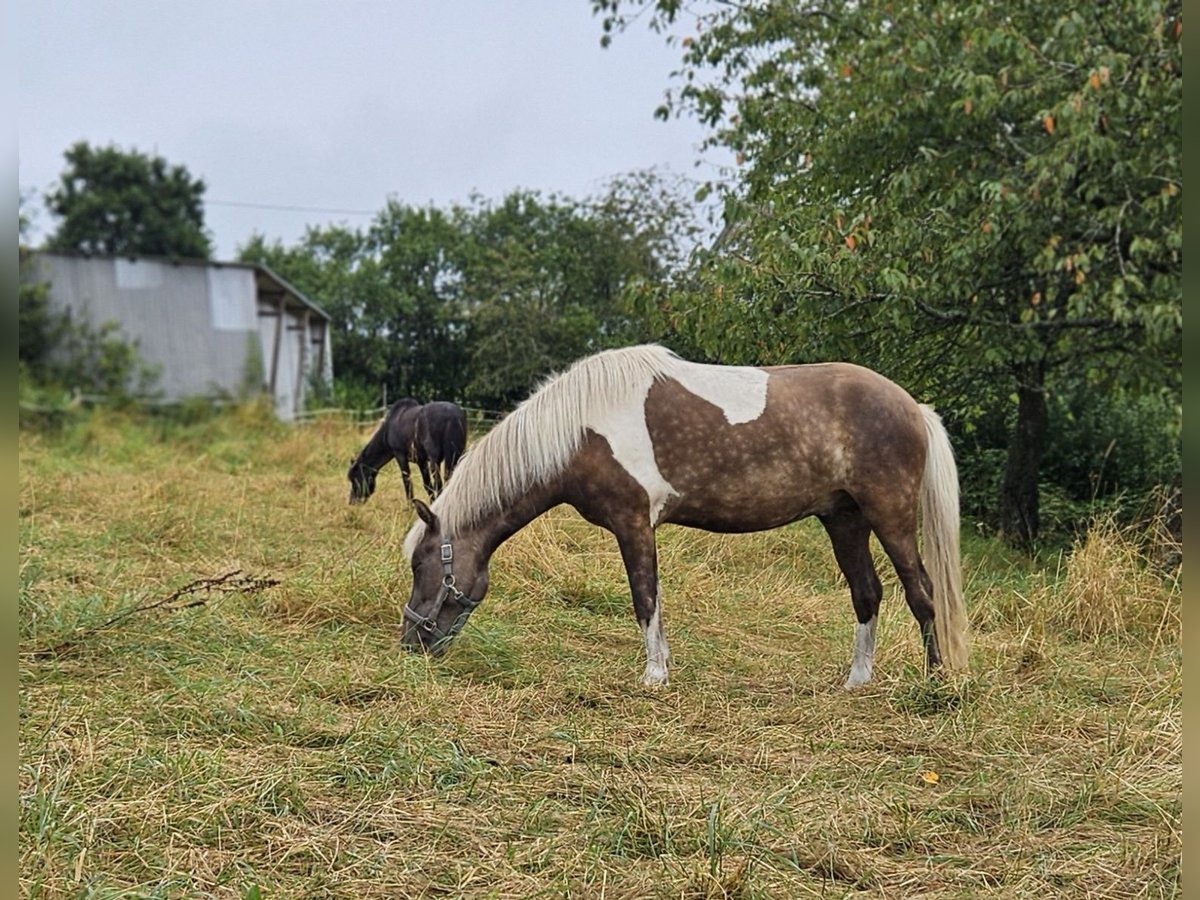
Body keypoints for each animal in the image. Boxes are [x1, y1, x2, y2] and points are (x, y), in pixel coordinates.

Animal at [398, 348, 969, 691]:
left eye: (420, 563)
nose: (410, 644)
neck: (582, 430)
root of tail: (913, 407)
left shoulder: (633, 522)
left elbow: (645, 598)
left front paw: (654, 675)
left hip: (890, 514)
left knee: (922, 593)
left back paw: (936, 683)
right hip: (844, 519)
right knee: (867, 593)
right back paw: (856, 681)